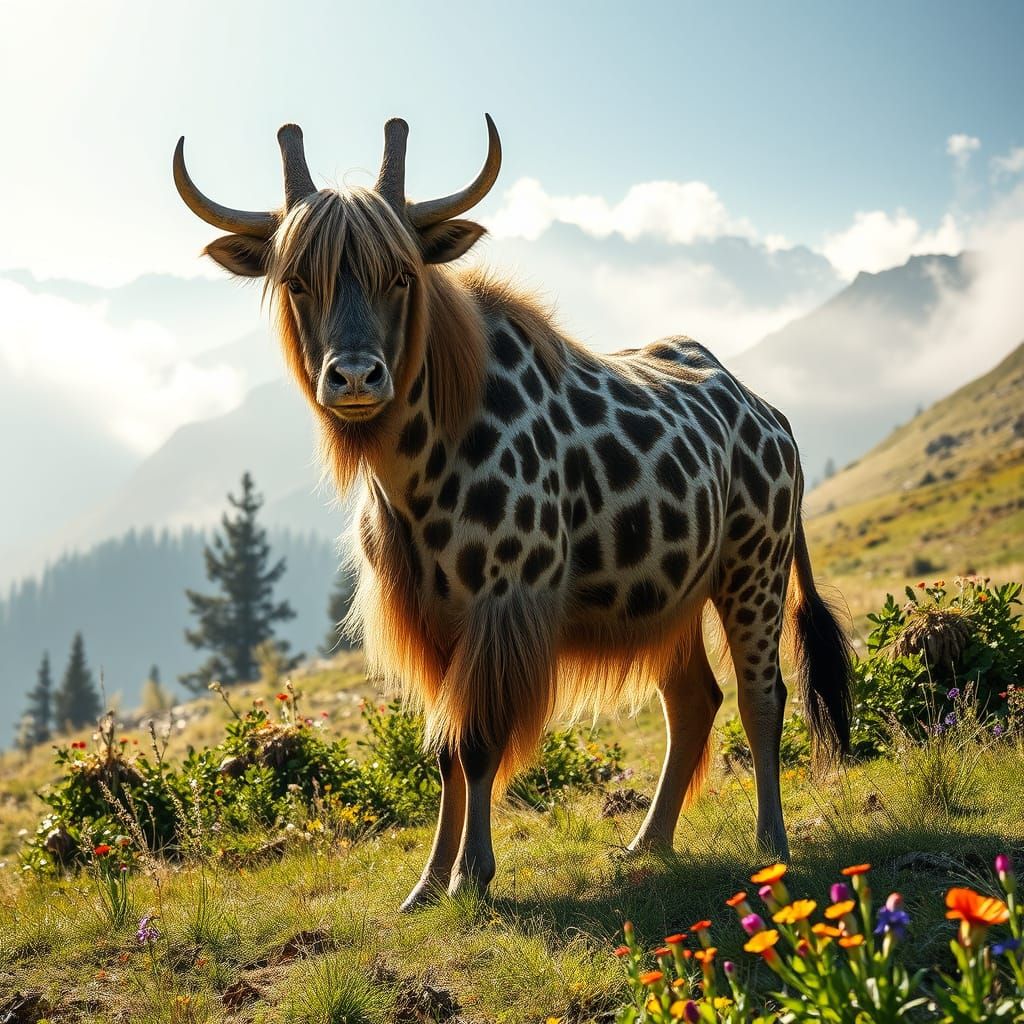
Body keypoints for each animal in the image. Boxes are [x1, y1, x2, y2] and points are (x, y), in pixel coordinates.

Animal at [173, 116, 853, 911]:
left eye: (401, 272)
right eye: (297, 279)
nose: (354, 377)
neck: (416, 470)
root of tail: (773, 416)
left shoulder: (501, 608)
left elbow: (478, 743)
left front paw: (472, 874)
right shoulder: (433, 623)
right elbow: (444, 749)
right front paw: (427, 884)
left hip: (754, 576)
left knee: (761, 696)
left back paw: (771, 842)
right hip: (674, 601)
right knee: (693, 703)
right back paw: (647, 842)